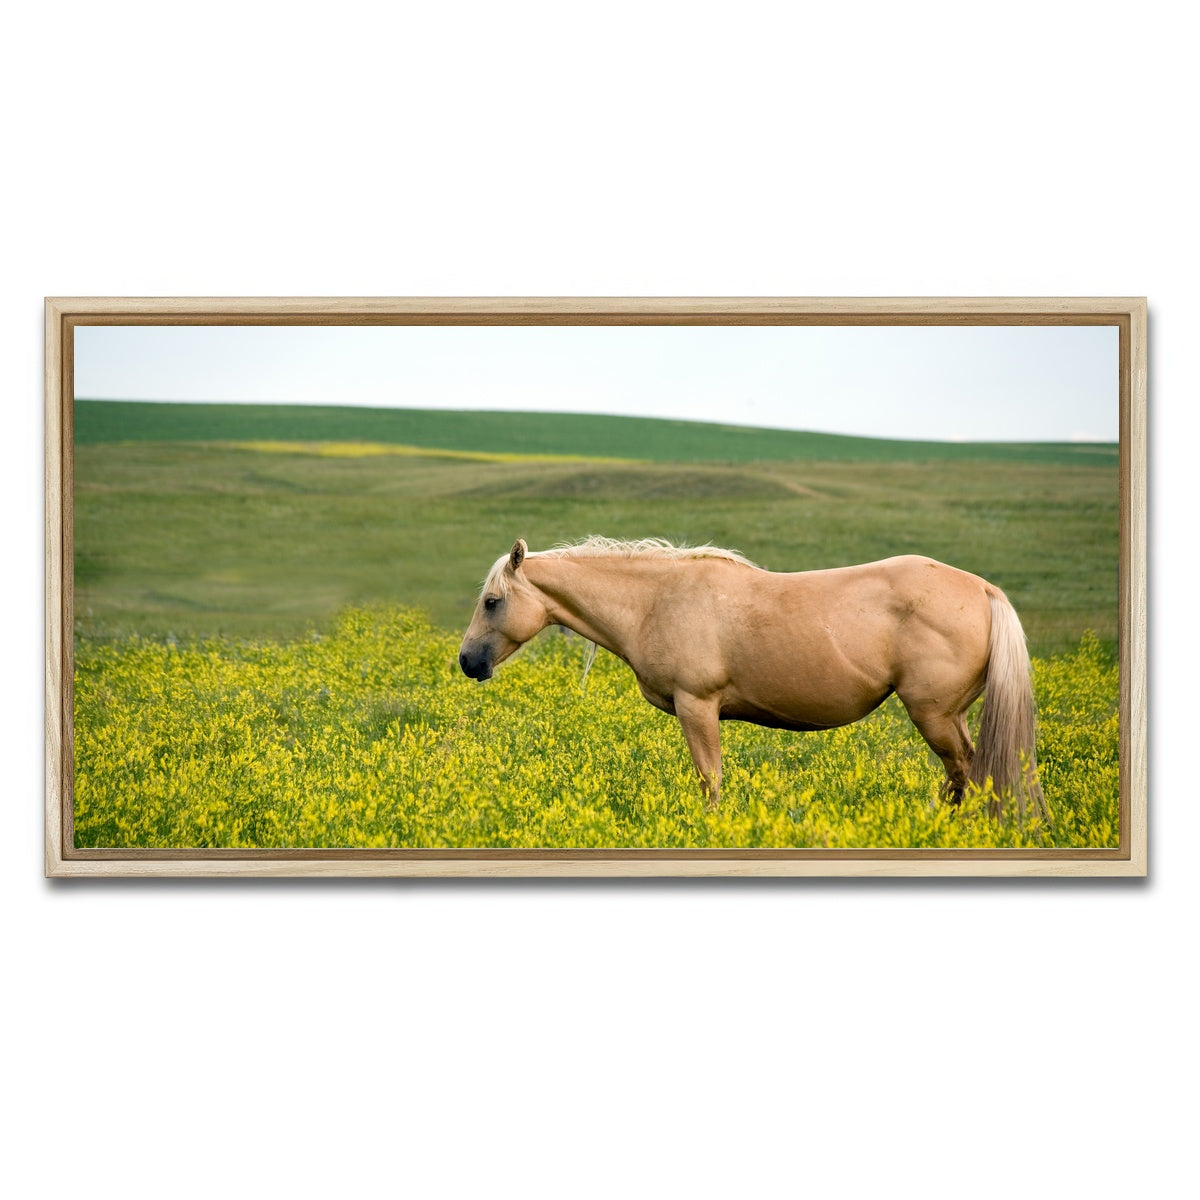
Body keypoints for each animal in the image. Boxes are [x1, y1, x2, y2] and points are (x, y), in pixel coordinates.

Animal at [458, 536, 1046, 822]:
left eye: (492, 602)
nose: (467, 662)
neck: (656, 600)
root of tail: (983, 589)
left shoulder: (698, 707)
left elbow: (710, 780)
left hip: (934, 715)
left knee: (966, 771)